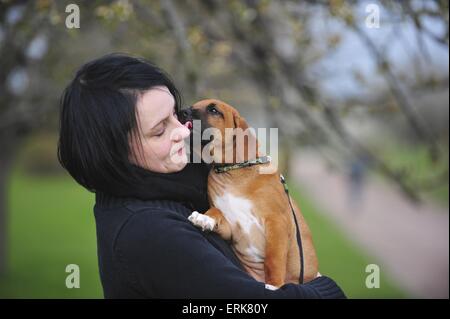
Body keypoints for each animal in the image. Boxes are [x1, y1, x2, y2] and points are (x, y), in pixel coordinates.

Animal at [182, 99, 316, 288]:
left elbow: (273, 259)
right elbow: (216, 211)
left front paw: (273, 286)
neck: (234, 172)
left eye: (214, 110)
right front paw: (205, 217)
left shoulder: (278, 223)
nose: (182, 112)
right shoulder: (231, 229)